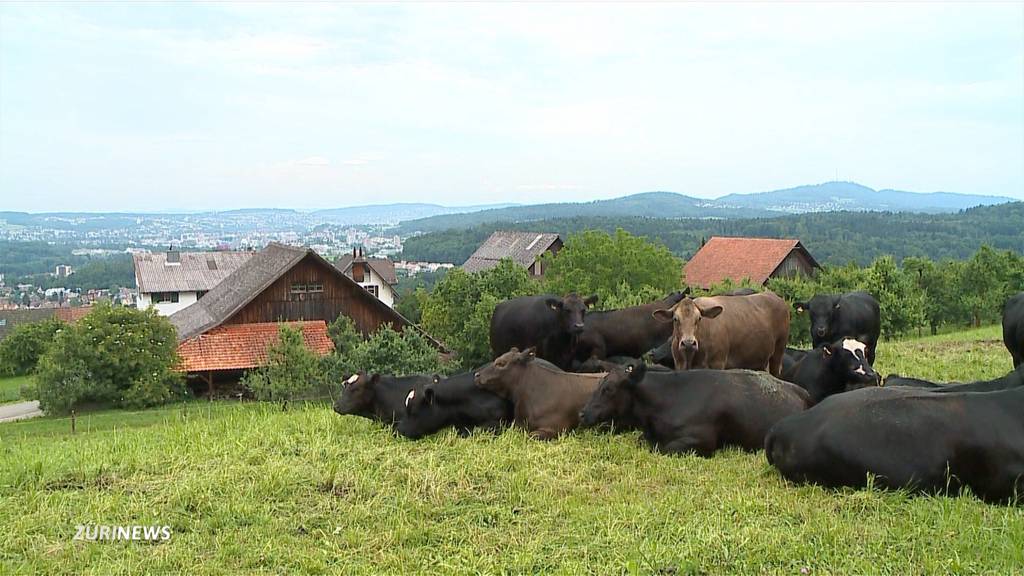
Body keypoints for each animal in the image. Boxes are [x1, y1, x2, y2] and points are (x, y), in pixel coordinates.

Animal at [651, 289, 786, 375]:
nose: (688, 343)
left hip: (778, 354)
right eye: (675, 319)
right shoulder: (679, 365)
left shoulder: (717, 364)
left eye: (699, 318)